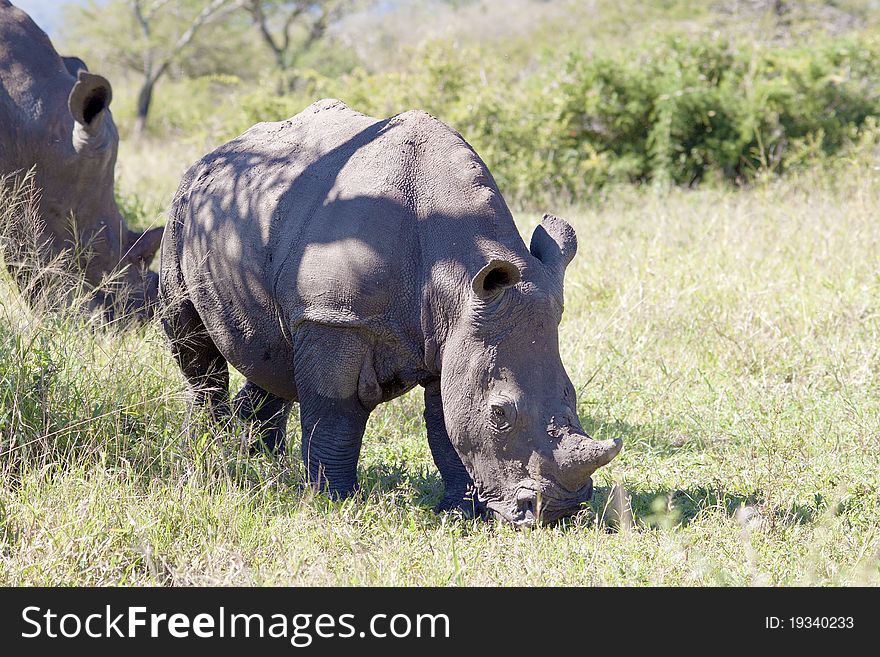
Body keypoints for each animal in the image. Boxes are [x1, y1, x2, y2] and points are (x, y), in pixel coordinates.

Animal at [162, 98, 624, 528]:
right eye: (499, 414)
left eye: (572, 394)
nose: (560, 511)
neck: (456, 268)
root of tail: (211, 155)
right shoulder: (334, 317)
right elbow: (334, 415)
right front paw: (334, 503)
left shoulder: (455, 330)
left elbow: (444, 425)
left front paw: (460, 513)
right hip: (180, 214)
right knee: (195, 346)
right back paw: (212, 456)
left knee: (271, 355)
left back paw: (260, 461)